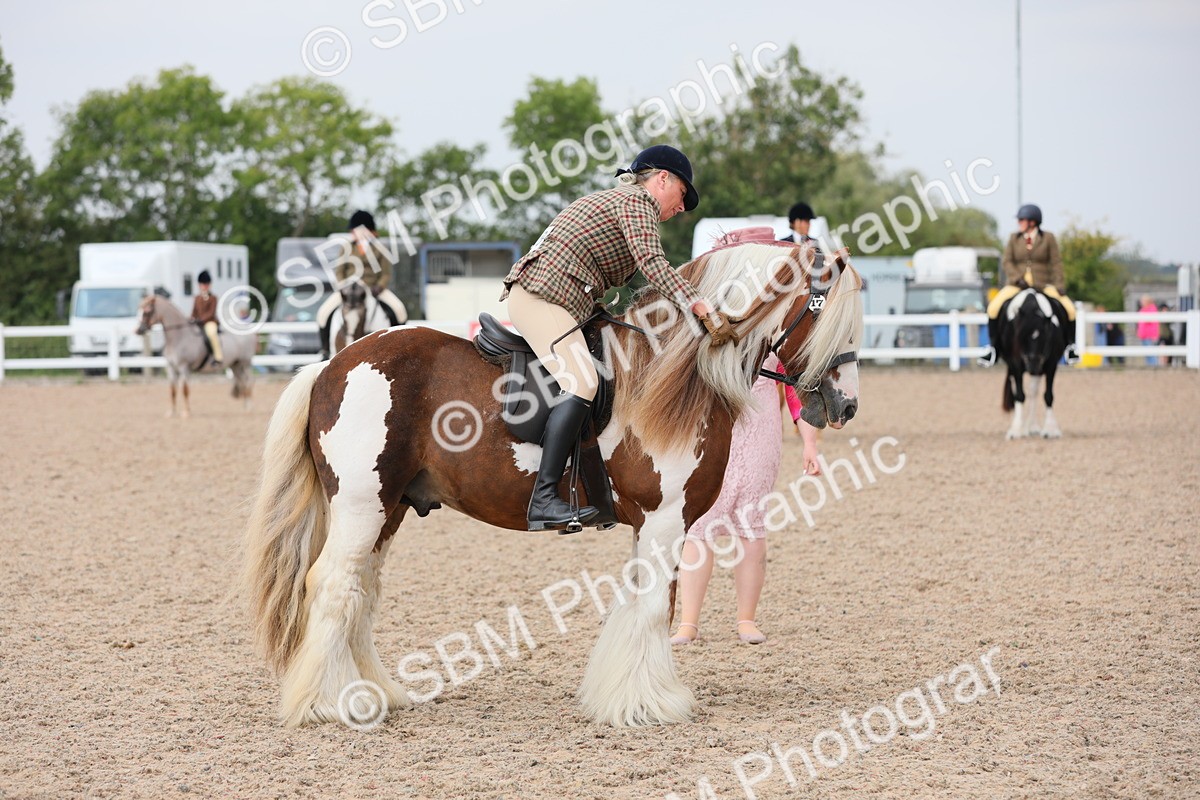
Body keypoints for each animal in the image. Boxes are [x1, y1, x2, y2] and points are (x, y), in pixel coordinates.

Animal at [241, 241, 864, 729]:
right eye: (829, 316)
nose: (845, 405)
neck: (668, 373)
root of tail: (330, 366)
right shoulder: (666, 520)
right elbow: (654, 608)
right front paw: (652, 703)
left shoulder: (652, 526)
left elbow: (638, 603)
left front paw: (620, 696)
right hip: (360, 508)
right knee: (332, 585)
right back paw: (330, 704)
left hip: (386, 511)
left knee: (361, 591)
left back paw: (374, 694)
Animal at [998, 287, 1066, 439]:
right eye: (1021, 337)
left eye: (1045, 338)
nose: (1033, 364)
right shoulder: (1016, 364)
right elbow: (1019, 395)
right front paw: (1017, 430)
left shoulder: (1051, 364)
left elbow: (1048, 395)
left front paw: (1050, 430)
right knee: (1018, 391)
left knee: (1033, 392)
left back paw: (1032, 427)